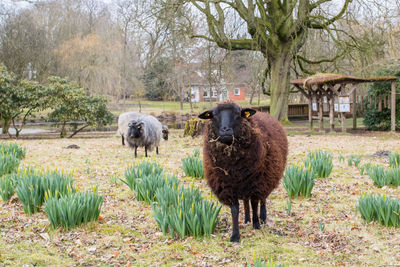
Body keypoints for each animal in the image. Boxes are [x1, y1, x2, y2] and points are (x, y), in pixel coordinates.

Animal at [199, 102, 288, 243]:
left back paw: (262, 218)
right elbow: (235, 210)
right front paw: (235, 235)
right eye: (214, 115)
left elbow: (255, 204)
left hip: (266, 178)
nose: (225, 130)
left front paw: (256, 224)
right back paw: (246, 219)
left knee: (262, 199)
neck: (233, 167)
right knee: (246, 201)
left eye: (237, 114)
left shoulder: (257, 183)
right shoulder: (228, 187)